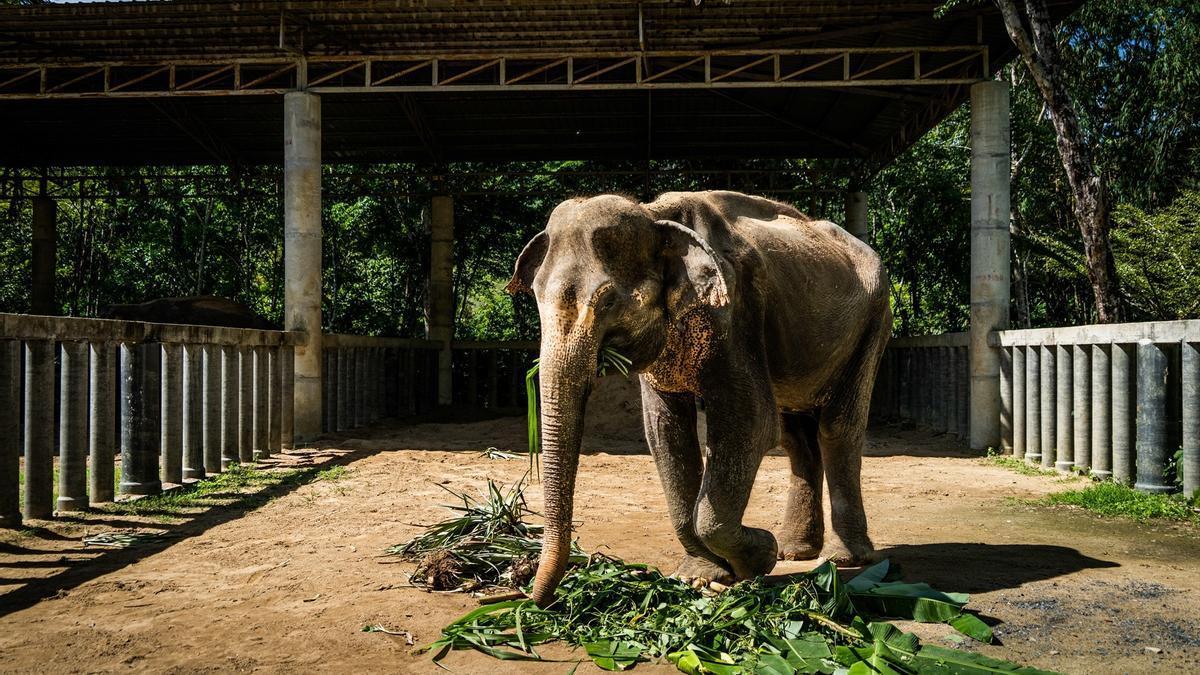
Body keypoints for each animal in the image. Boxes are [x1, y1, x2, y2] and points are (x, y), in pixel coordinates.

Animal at [506, 187, 892, 605]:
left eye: (607, 302)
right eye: (536, 297)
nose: (530, 596)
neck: (653, 214)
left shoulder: (737, 312)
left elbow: (750, 422)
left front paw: (761, 555)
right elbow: (665, 432)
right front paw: (702, 576)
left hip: (873, 322)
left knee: (838, 428)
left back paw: (844, 558)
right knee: (796, 437)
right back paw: (796, 551)